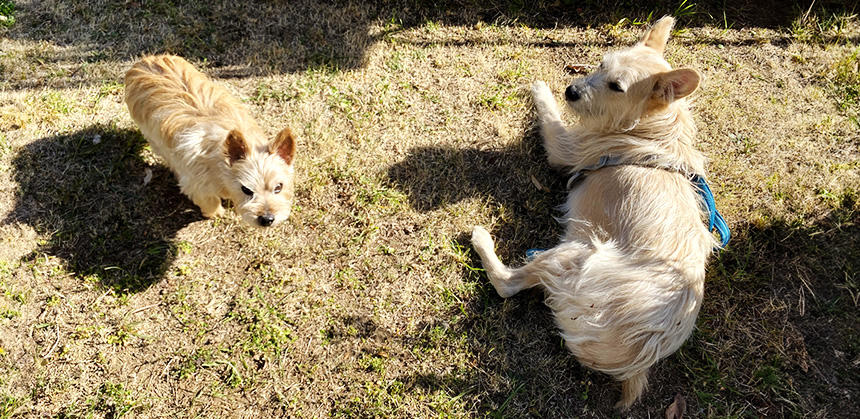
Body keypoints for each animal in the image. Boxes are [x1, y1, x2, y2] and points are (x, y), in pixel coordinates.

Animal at [124, 55, 298, 230]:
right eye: (246, 189)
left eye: (279, 187)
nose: (267, 219)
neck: (218, 163)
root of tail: (146, 60)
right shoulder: (197, 185)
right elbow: (209, 201)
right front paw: (215, 213)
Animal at [470, 18, 724, 408]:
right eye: (602, 64)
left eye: (617, 87)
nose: (571, 90)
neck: (650, 128)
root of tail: (640, 356)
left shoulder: (566, 147)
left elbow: (550, 116)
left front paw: (541, 89)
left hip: (575, 252)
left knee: (507, 284)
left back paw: (482, 241)